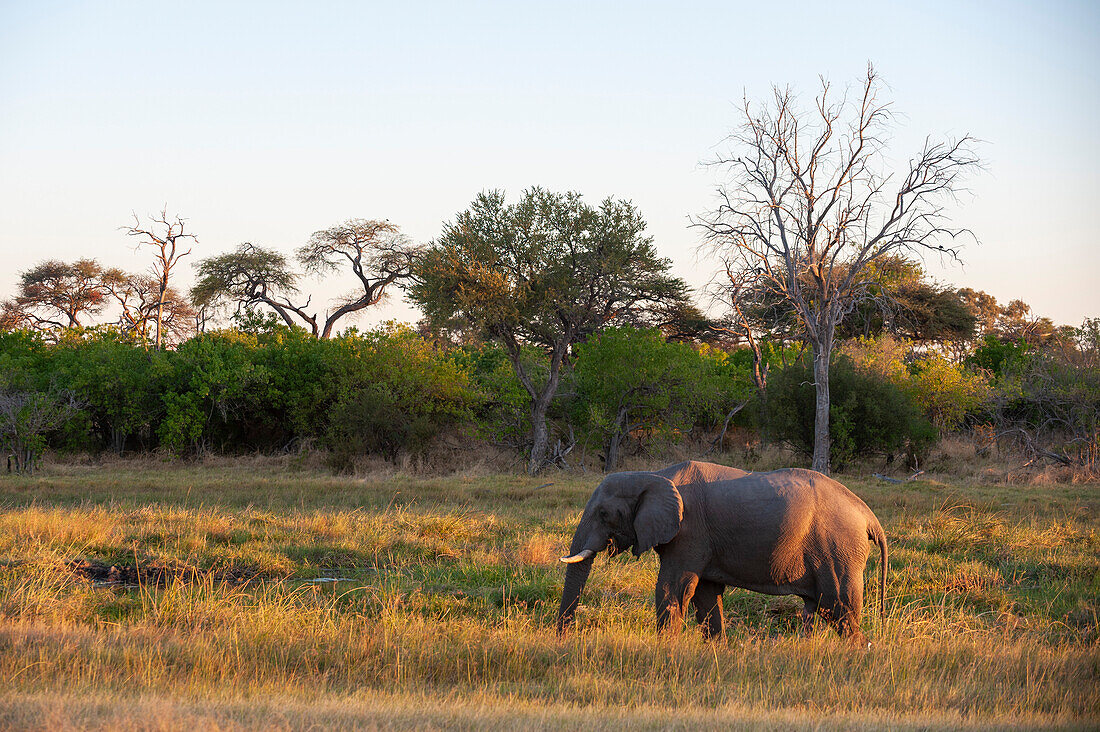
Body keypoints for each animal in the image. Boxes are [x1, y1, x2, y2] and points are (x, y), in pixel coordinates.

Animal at [558, 460, 884, 642]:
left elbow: (673, 587)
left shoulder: (690, 532)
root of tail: (869, 515)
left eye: (603, 514)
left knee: (838, 607)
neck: (653, 475)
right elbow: (705, 594)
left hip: (838, 549)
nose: (565, 639)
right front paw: (714, 650)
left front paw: (666, 649)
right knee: (820, 608)